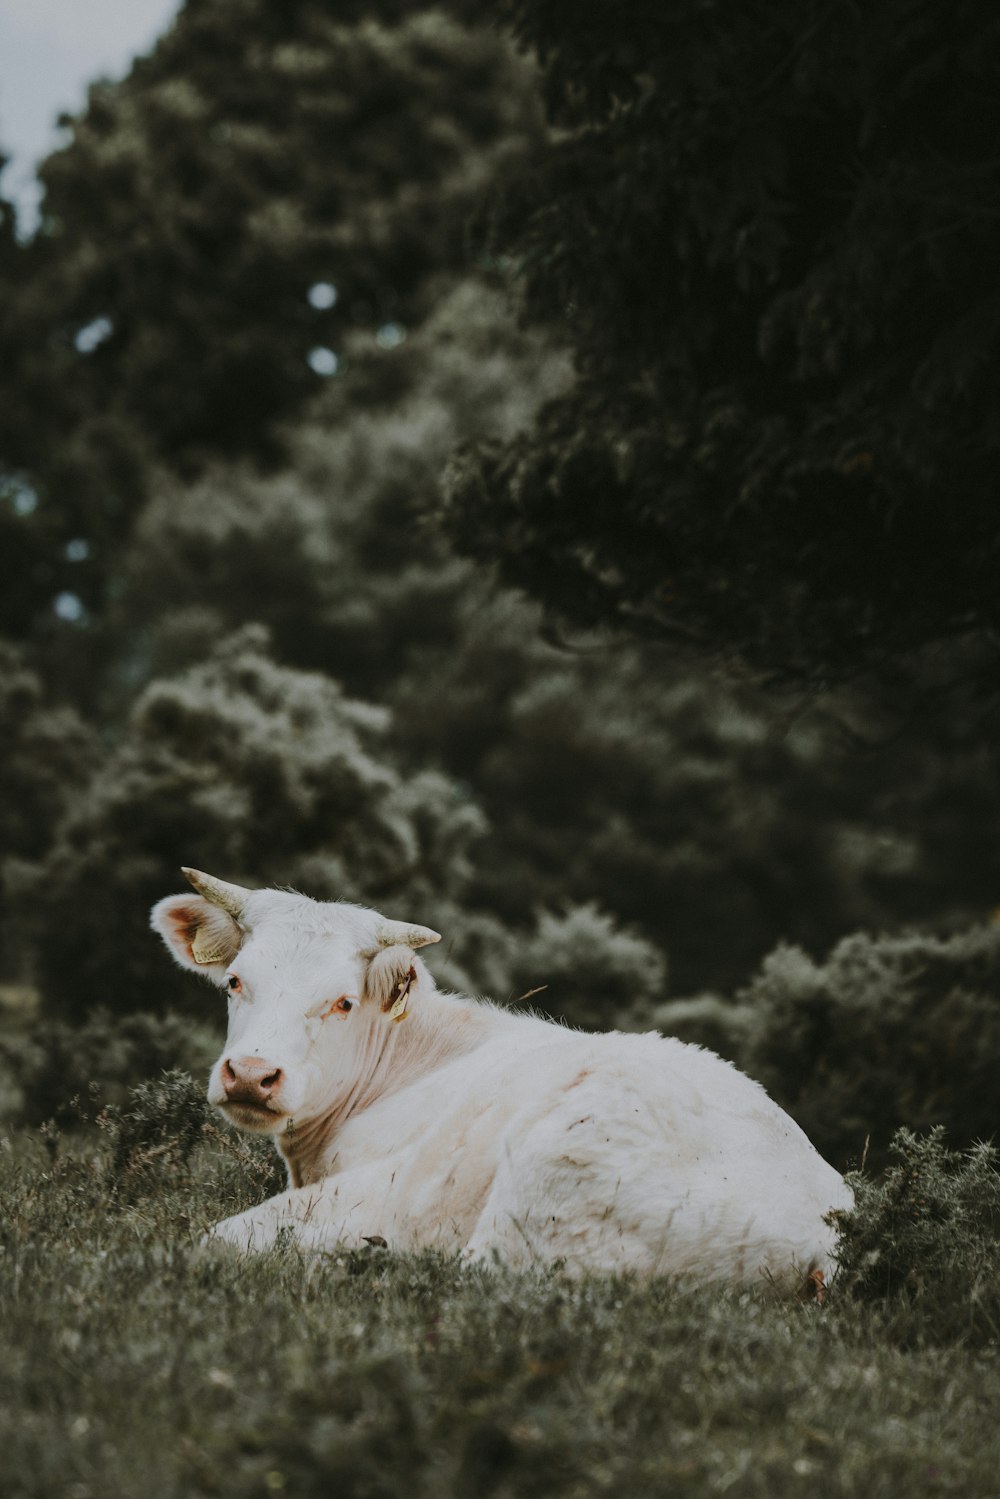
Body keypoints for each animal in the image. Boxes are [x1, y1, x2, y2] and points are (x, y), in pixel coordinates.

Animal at [150, 869, 851, 1289]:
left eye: (343, 1002)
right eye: (235, 981)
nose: (252, 1074)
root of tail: (825, 1238)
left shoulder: (388, 1185)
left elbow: (221, 1238)